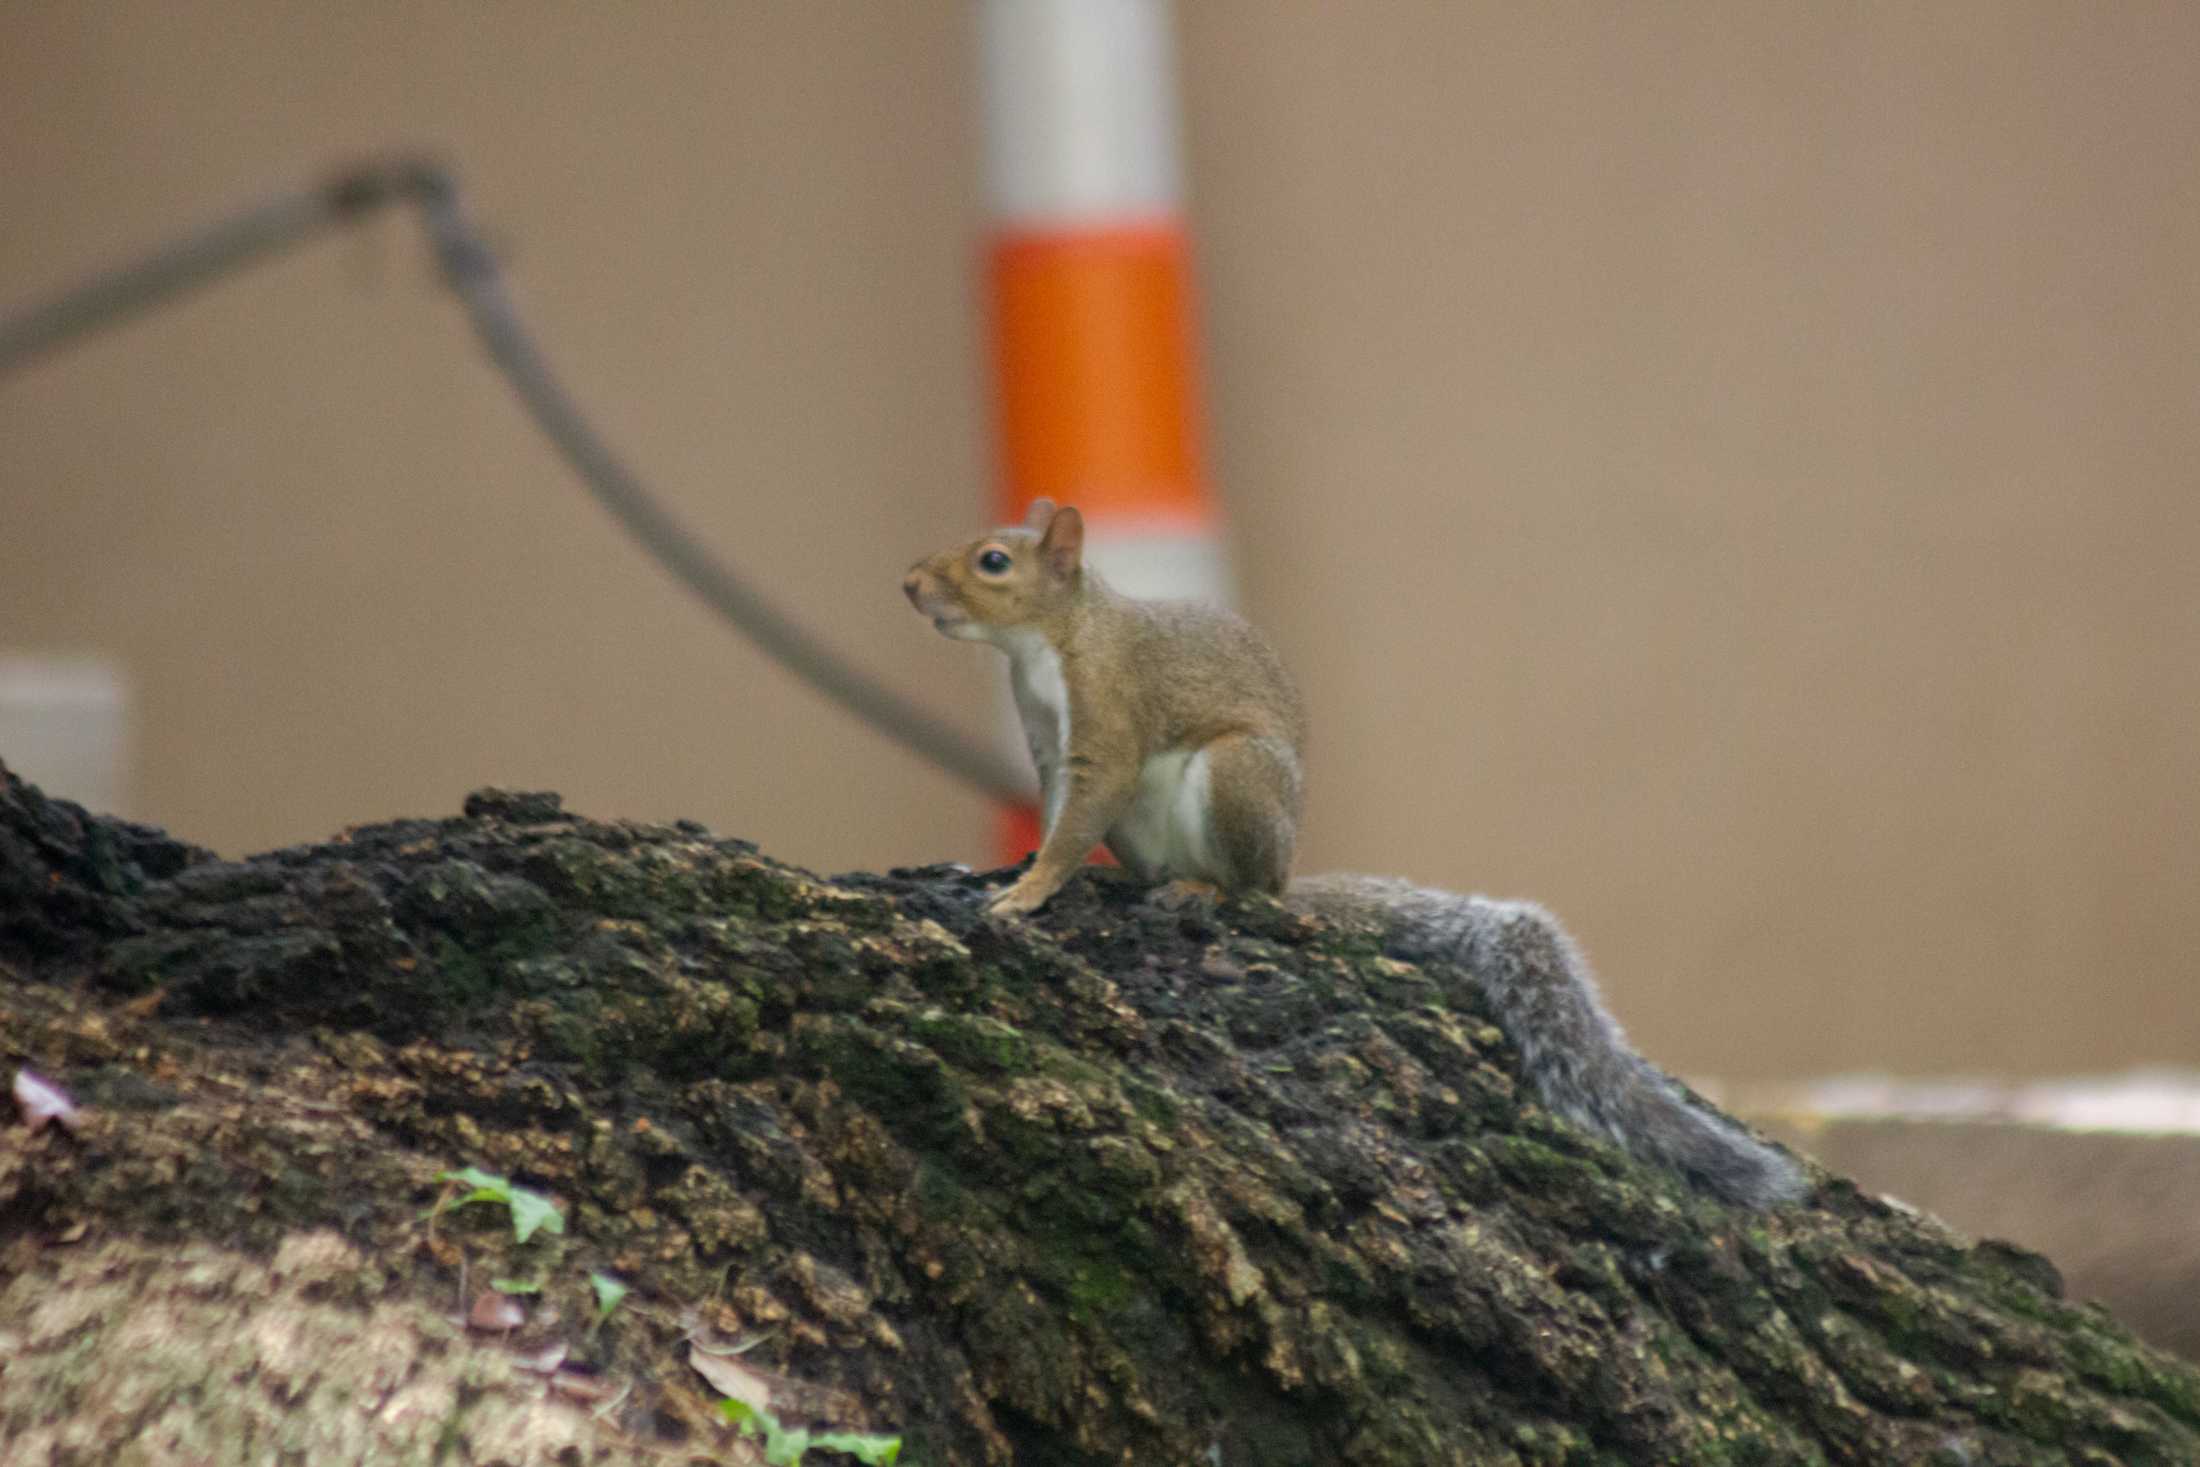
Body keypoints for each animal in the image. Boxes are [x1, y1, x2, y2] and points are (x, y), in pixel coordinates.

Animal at [902, 499, 1812, 1214]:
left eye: (993, 561)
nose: (910, 584)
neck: (1050, 642)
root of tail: (1287, 873)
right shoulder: (1048, 747)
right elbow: (1057, 814)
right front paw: (1016, 874)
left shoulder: (1111, 719)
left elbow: (1080, 815)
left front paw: (1027, 894)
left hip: (1238, 779)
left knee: (1249, 892)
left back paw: (1202, 889)